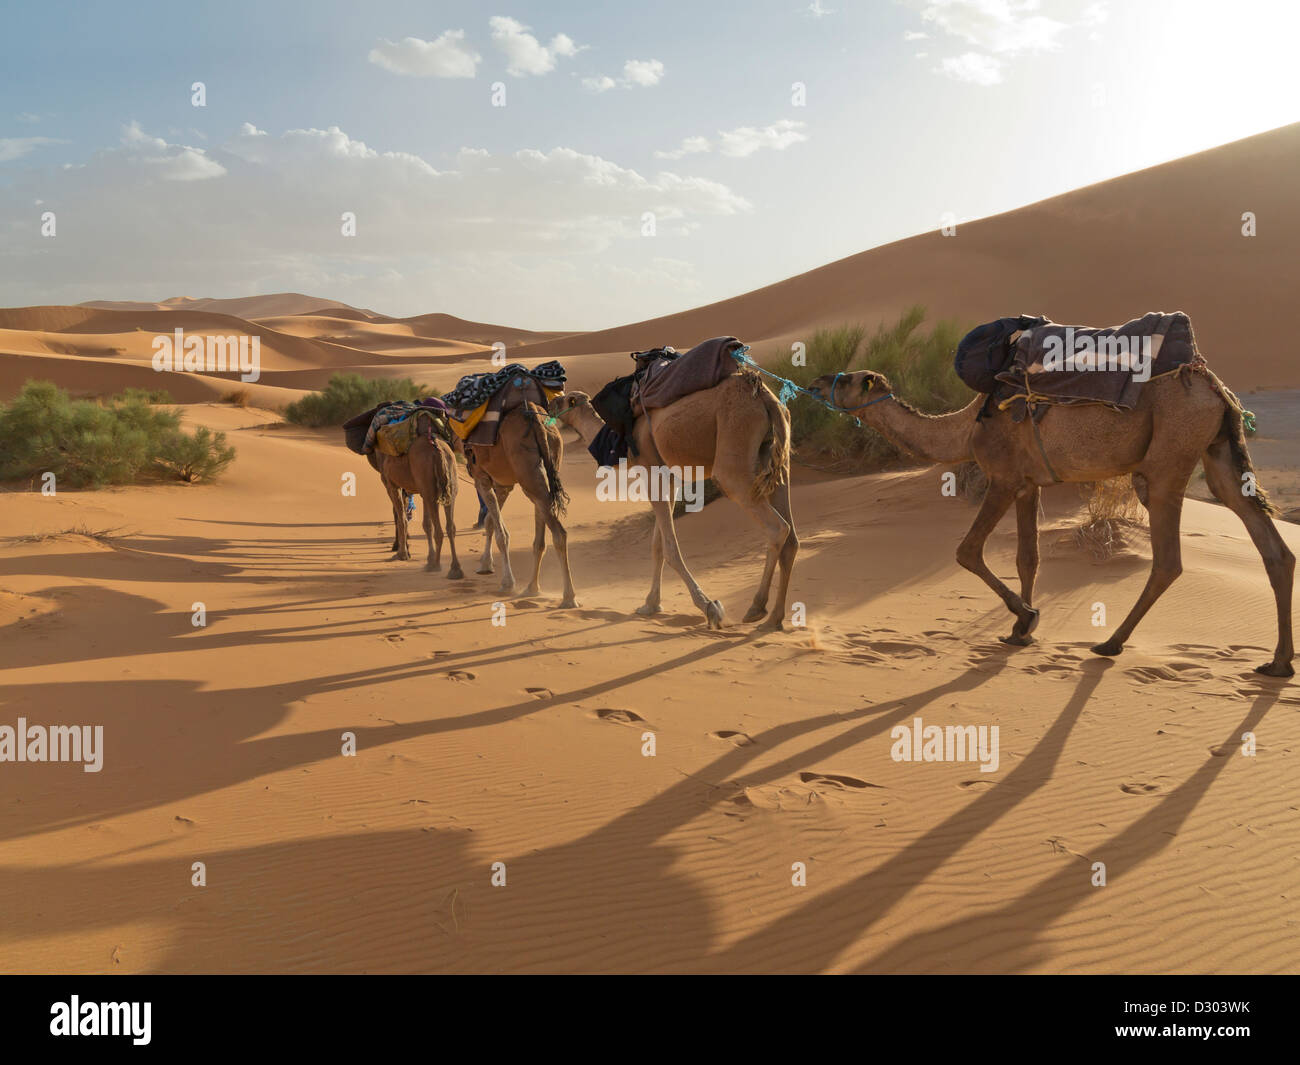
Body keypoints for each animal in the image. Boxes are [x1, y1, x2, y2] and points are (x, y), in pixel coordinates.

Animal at [366, 408, 462, 579]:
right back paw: (454, 569)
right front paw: (428, 557)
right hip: (448, 483)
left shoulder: (391, 484)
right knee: (450, 526)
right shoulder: (422, 489)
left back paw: (435, 566)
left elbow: (401, 518)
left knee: (439, 530)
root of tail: (437, 449)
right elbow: (426, 524)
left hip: (425, 478)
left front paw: (402, 554)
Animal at [462, 403, 574, 608]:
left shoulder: (481, 478)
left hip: (525, 468)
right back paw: (532, 588)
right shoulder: (503, 485)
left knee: (559, 533)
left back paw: (569, 597)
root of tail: (536, 420)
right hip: (546, 463)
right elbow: (490, 521)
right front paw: (485, 564)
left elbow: (501, 533)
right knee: (541, 534)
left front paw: (507, 583)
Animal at [546, 371, 790, 629]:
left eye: (565, 399)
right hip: (774, 454)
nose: (549, 404)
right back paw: (774, 619)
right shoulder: (670, 481)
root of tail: (764, 396)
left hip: (734, 451)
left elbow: (670, 549)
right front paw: (650, 604)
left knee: (777, 527)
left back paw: (757, 607)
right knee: (790, 535)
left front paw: (709, 607)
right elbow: (658, 546)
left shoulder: (652, 475)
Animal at [806, 361, 1294, 670]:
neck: (965, 427)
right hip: (1218, 450)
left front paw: (1027, 617)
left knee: (1168, 559)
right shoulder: (1028, 483)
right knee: (1267, 539)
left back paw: (1110, 643)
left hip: (1169, 456)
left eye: (847, 378)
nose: (814, 381)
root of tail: (1213, 385)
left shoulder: (1002, 477)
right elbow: (1028, 557)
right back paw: (1278, 663)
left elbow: (967, 551)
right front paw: (1019, 633)